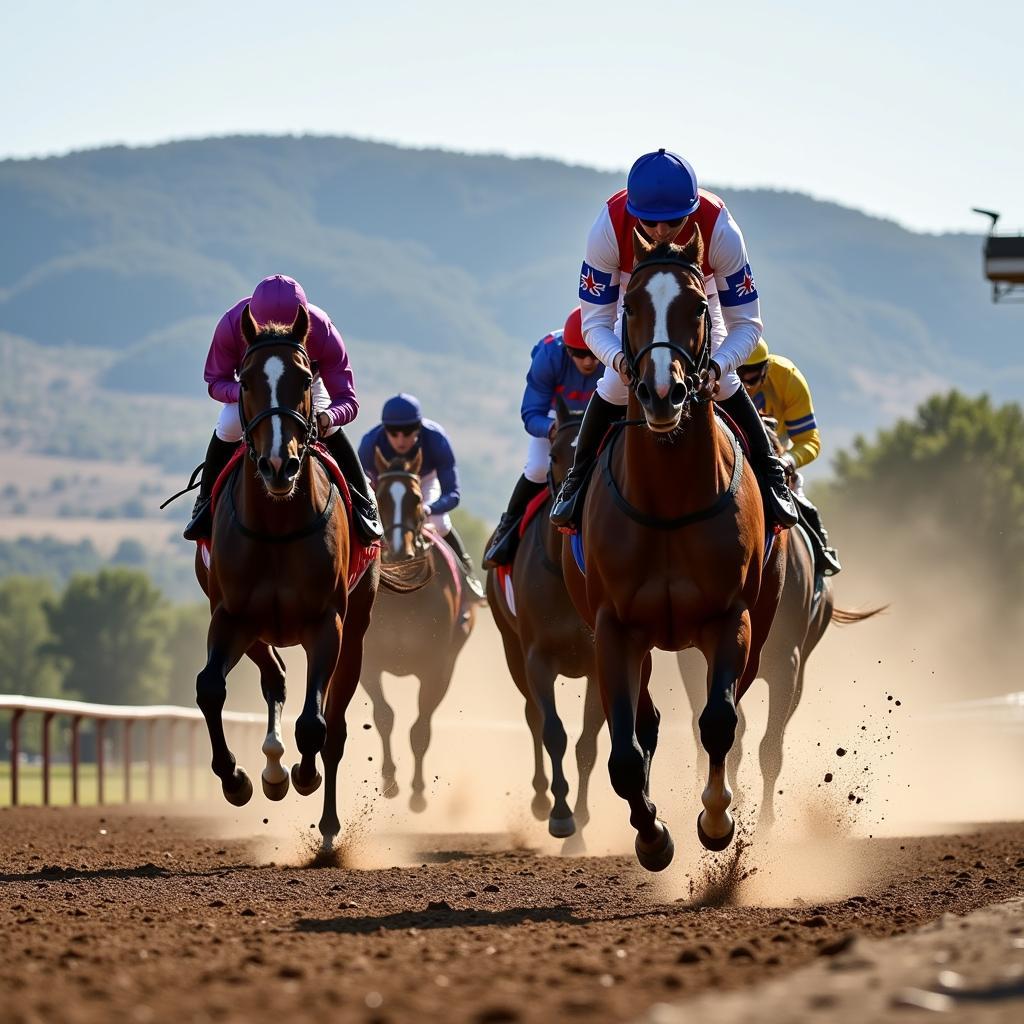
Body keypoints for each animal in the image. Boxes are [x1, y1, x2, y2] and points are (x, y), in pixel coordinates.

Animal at [193, 305, 417, 856]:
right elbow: (209, 688)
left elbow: (316, 725)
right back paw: (272, 770)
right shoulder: (229, 616)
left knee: (333, 724)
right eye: (246, 379)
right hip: (250, 625)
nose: (279, 463)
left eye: (303, 378)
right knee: (274, 677)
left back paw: (325, 822)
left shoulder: (326, 625)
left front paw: (306, 777)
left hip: (354, 636)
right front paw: (235, 779)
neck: (277, 526)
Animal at [360, 452, 471, 811]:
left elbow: (420, 728)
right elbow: (384, 716)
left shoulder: (436, 668)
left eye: (417, 500)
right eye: (379, 498)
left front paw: (419, 793)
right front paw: (389, 782)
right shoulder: (369, 662)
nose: (398, 550)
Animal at [485, 399, 602, 847]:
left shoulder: (598, 663)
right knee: (533, 716)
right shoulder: (538, 659)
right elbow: (553, 731)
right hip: (511, 647)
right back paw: (539, 799)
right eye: (553, 455)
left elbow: (587, 743)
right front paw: (561, 815)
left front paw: (580, 826)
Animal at [565, 228, 786, 868]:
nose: (664, 392)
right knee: (648, 721)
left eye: (697, 307)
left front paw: (716, 819)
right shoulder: (612, 628)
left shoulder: (730, 619)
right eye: (633, 307)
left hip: (758, 627)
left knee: (730, 717)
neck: (666, 503)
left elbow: (719, 723)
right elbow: (624, 753)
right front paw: (653, 835)